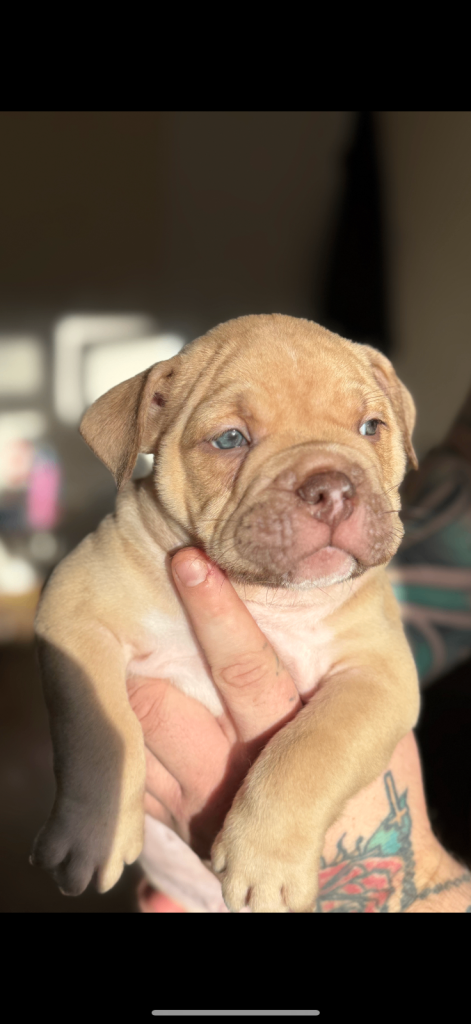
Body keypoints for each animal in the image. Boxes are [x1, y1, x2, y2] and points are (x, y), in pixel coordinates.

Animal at [31, 314, 420, 912]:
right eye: (231, 439)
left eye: (371, 427)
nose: (332, 488)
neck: (264, 597)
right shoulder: (75, 614)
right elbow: (97, 729)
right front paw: (93, 833)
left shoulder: (379, 677)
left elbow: (309, 748)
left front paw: (265, 858)